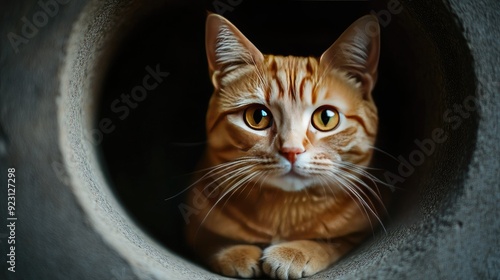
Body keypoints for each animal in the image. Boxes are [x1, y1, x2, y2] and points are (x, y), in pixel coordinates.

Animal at [186, 13, 384, 280]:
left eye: (326, 118)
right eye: (257, 117)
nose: (291, 150)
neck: (283, 211)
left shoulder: (359, 231)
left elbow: (332, 242)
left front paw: (294, 251)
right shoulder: (194, 225)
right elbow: (210, 239)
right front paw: (236, 252)